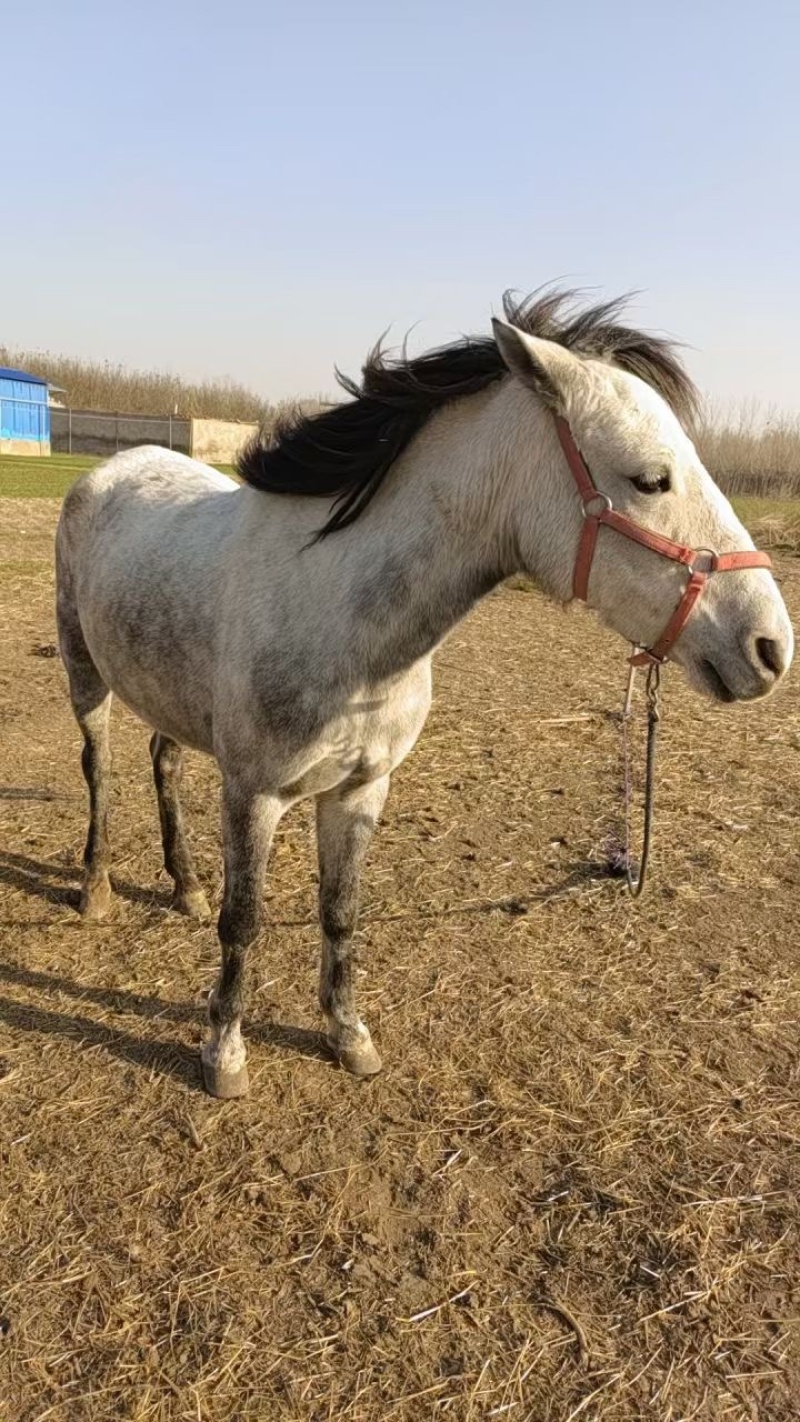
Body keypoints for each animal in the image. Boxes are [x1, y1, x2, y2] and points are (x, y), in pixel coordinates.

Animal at [55, 289, 793, 1099]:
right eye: (651, 479)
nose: (770, 648)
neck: (339, 613)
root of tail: (117, 466)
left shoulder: (360, 789)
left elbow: (341, 911)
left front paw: (348, 1035)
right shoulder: (255, 794)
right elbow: (242, 920)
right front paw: (224, 1052)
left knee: (164, 761)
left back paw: (183, 885)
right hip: (86, 677)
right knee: (99, 770)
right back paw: (95, 889)